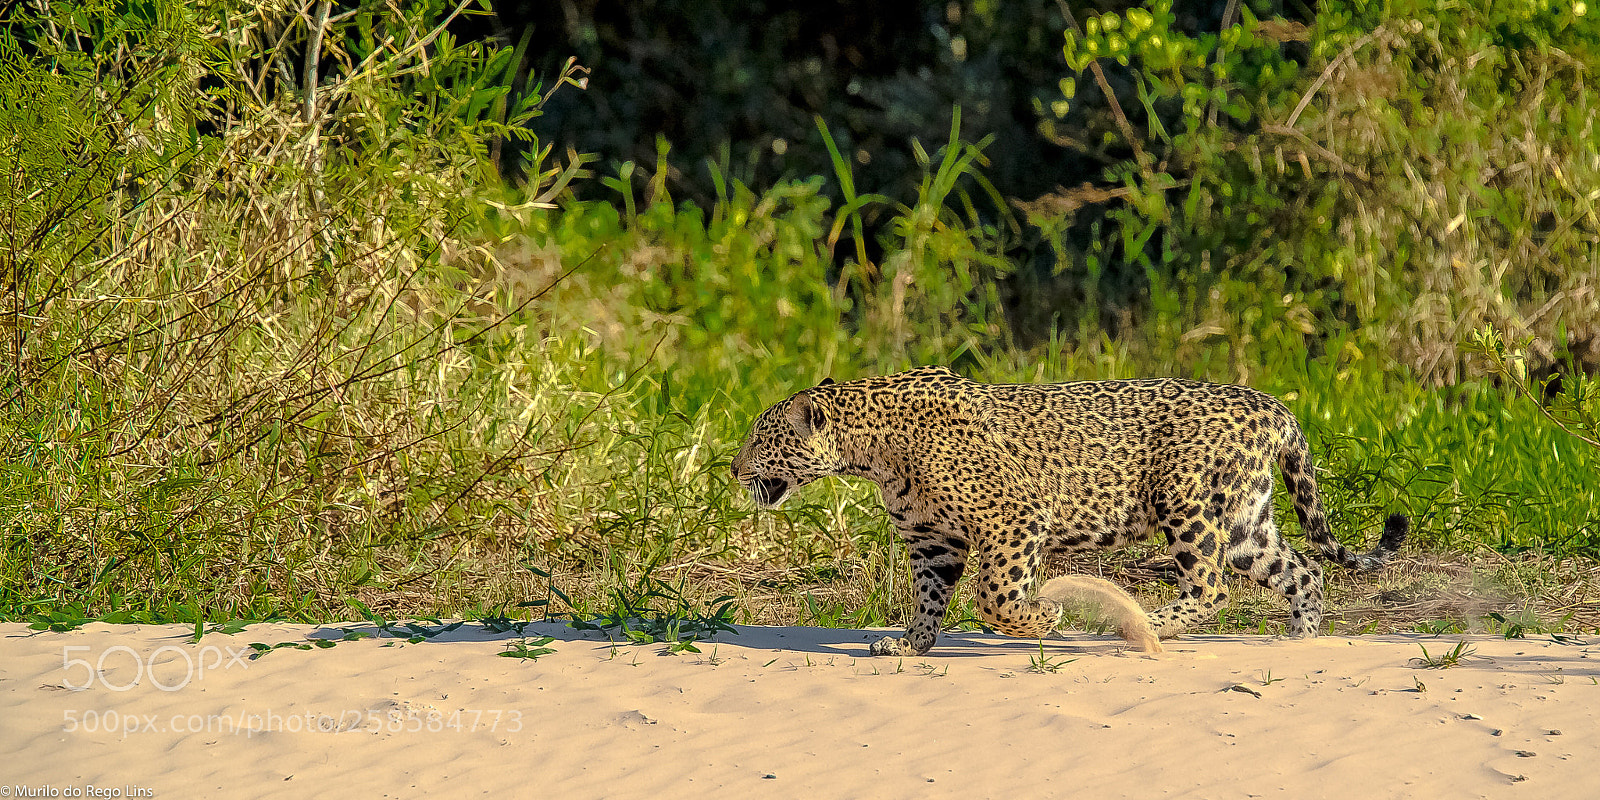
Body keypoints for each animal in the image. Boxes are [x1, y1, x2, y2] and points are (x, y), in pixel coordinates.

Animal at [730, 365, 1408, 657]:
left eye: (761, 438)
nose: (733, 470)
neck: (871, 449)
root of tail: (1276, 406)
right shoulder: (933, 542)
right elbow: (928, 599)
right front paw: (911, 647)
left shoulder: (1014, 515)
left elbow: (996, 597)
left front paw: (1044, 619)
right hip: (1245, 520)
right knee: (1301, 569)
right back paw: (1301, 639)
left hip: (1186, 503)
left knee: (1210, 586)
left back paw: (1145, 625)